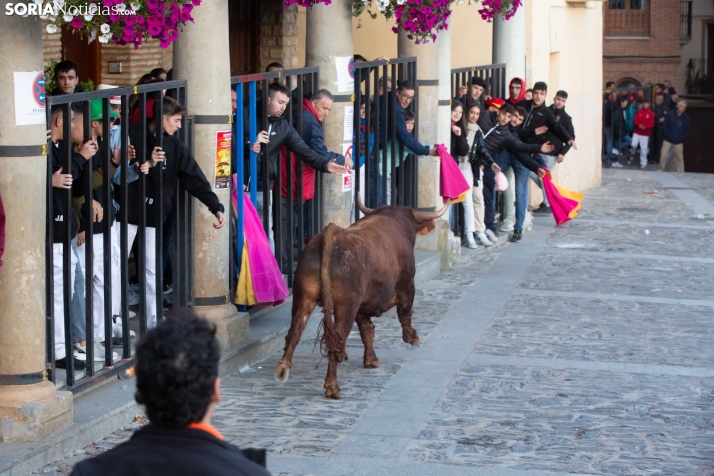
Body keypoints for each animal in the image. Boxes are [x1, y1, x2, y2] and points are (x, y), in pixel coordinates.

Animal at [272, 195, 444, 400]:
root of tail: (334, 233)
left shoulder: (362, 305)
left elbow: (367, 330)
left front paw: (371, 360)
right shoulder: (407, 285)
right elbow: (404, 313)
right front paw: (412, 338)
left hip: (304, 298)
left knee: (295, 332)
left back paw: (283, 369)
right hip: (346, 306)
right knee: (337, 340)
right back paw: (333, 388)